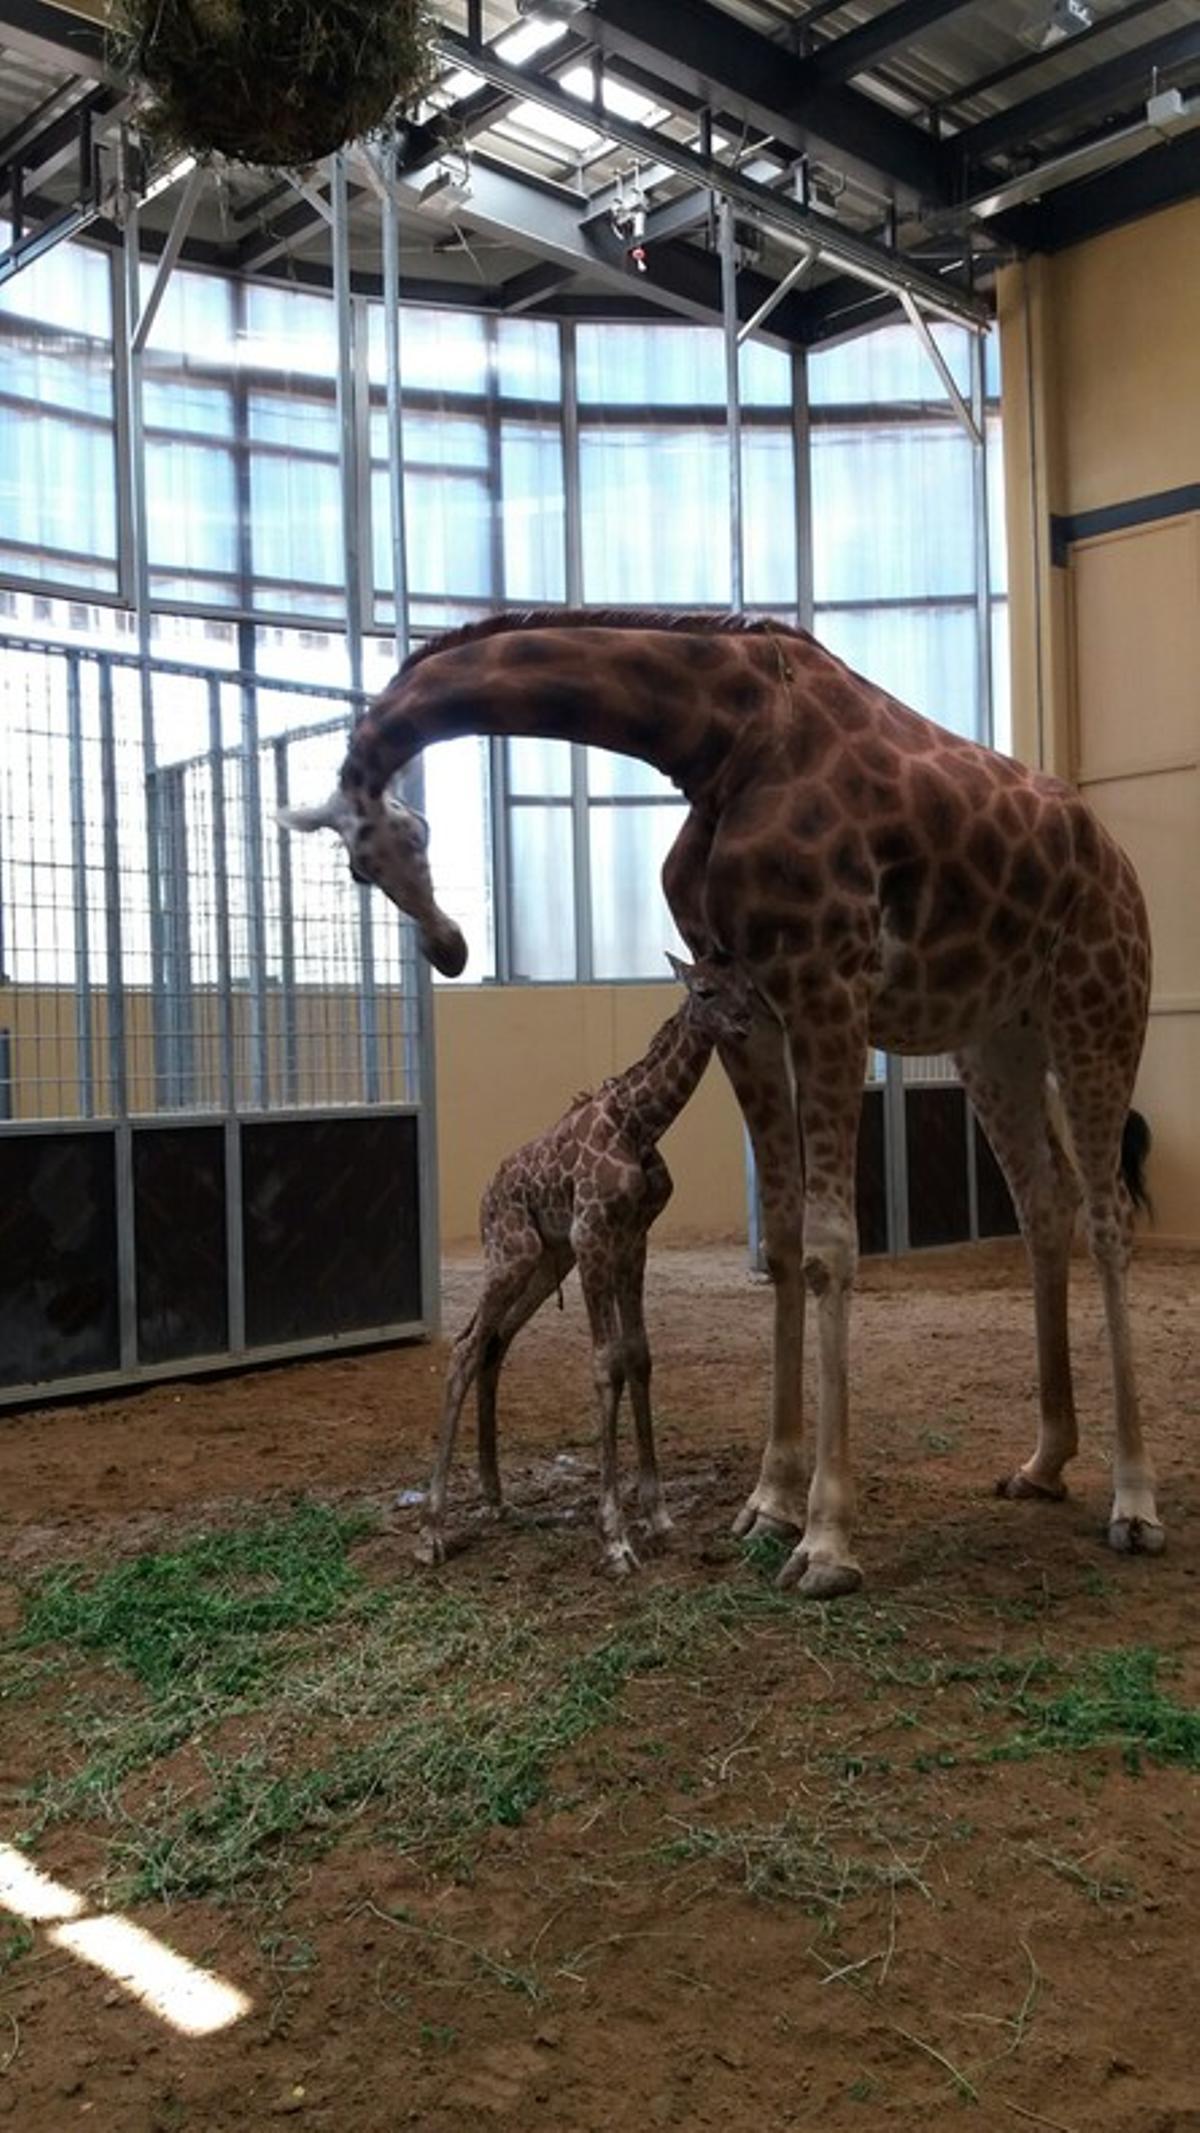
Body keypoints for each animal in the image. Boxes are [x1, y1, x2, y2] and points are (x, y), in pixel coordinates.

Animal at [417, 959, 754, 1578]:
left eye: (748, 986)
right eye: (703, 990)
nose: (745, 1025)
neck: (640, 1124)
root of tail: (485, 1194)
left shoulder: (631, 1241)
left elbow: (638, 1356)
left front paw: (659, 1517)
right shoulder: (594, 1235)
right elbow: (605, 1364)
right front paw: (614, 1538)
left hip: (547, 1263)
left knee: (494, 1343)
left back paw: (495, 1496)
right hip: (513, 1253)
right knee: (466, 1346)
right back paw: (431, 1532)